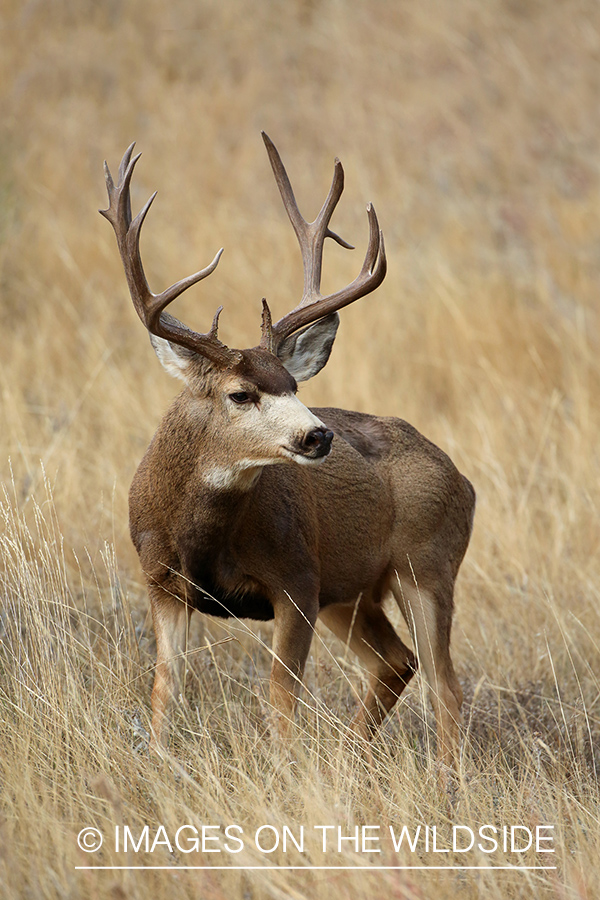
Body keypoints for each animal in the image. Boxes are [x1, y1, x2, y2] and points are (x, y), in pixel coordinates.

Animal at [100, 134, 475, 769]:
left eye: (294, 385)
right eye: (240, 393)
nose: (319, 435)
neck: (202, 536)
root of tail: (463, 480)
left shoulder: (297, 578)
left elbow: (280, 697)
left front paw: (284, 773)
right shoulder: (160, 581)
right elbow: (165, 689)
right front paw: (159, 765)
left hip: (425, 563)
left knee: (443, 683)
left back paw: (446, 781)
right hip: (351, 590)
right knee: (397, 662)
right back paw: (350, 760)